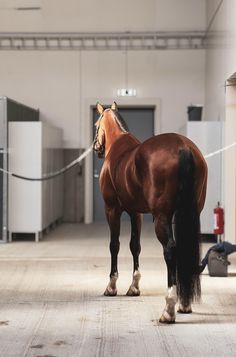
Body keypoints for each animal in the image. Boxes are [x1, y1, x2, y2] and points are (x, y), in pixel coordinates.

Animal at [93, 101, 207, 322]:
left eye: (96, 124)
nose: (96, 148)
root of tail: (183, 146)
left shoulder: (112, 209)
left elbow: (114, 245)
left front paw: (111, 286)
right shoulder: (136, 213)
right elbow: (135, 246)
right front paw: (134, 287)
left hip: (162, 217)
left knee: (170, 250)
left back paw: (169, 309)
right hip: (190, 213)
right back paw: (184, 304)